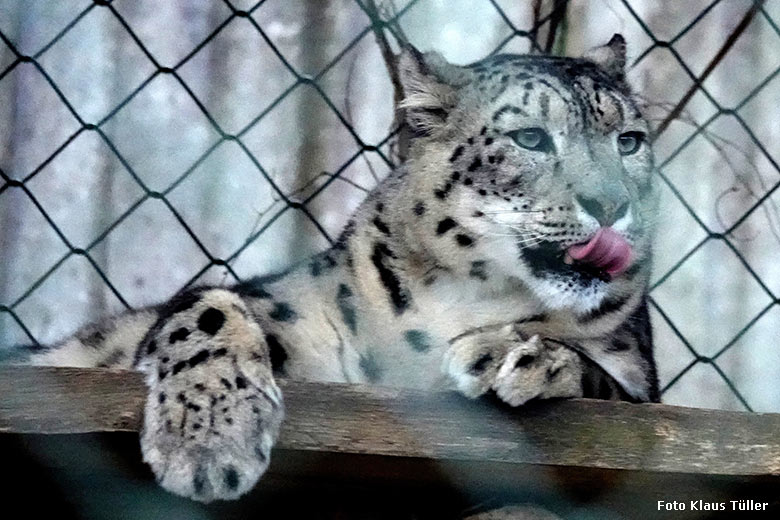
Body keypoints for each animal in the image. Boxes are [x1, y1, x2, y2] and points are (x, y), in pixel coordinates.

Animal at [4, 33, 660, 504]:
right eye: (530, 137)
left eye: (629, 141)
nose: (612, 204)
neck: (471, 301)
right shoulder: (283, 315)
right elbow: (210, 305)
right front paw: (210, 440)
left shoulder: (640, 380)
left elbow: (605, 382)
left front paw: (518, 354)